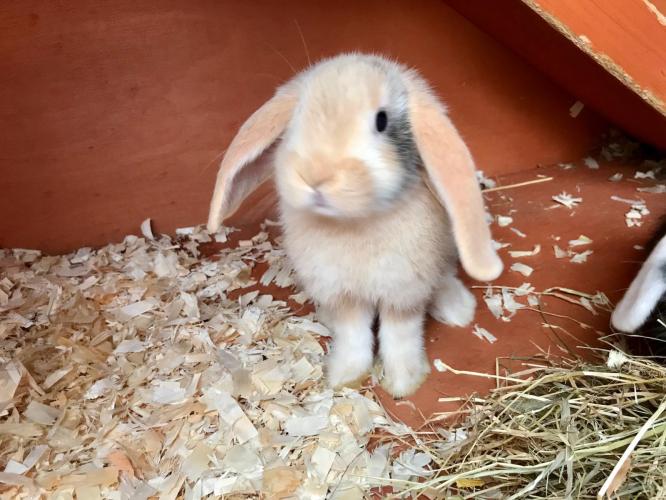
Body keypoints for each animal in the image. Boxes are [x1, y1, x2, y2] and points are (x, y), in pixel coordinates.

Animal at [207, 53, 503, 397]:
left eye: (382, 121)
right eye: (297, 116)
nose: (315, 175)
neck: (353, 223)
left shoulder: (403, 292)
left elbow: (400, 335)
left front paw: (404, 382)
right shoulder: (341, 293)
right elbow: (353, 335)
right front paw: (344, 376)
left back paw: (457, 309)